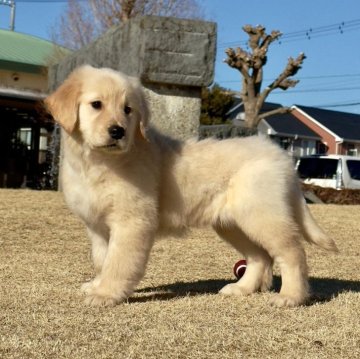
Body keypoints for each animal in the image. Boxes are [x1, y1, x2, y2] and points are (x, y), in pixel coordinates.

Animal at [45, 66, 338, 308]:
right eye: (96, 105)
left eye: (128, 110)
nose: (118, 131)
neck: (97, 162)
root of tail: (281, 155)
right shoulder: (96, 226)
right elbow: (102, 259)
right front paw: (96, 284)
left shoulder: (132, 221)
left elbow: (118, 262)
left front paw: (106, 293)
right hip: (233, 223)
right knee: (260, 257)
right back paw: (241, 289)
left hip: (262, 215)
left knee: (292, 253)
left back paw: (291, 296)